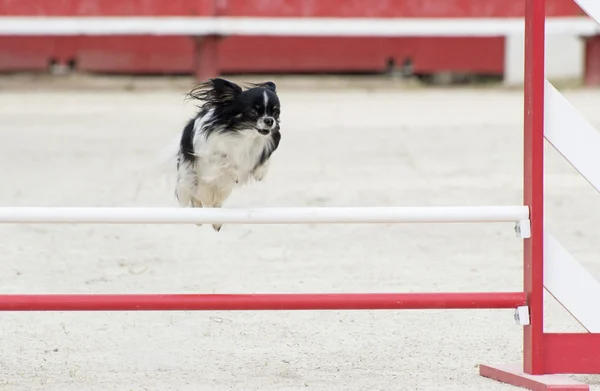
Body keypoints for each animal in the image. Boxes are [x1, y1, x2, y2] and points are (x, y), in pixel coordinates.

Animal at [175, 78, 282, 231]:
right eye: (252, 112)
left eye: (276, 113)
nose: (269, 120)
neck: (243, 134)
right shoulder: (209, 154)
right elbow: (225, 158)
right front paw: (236, 173)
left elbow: (264, 159)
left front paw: (260, 172)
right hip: (187, 181)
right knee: (193, 196)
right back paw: (198, 216)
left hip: (223, 189)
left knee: (216, 203)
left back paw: (216, 222)